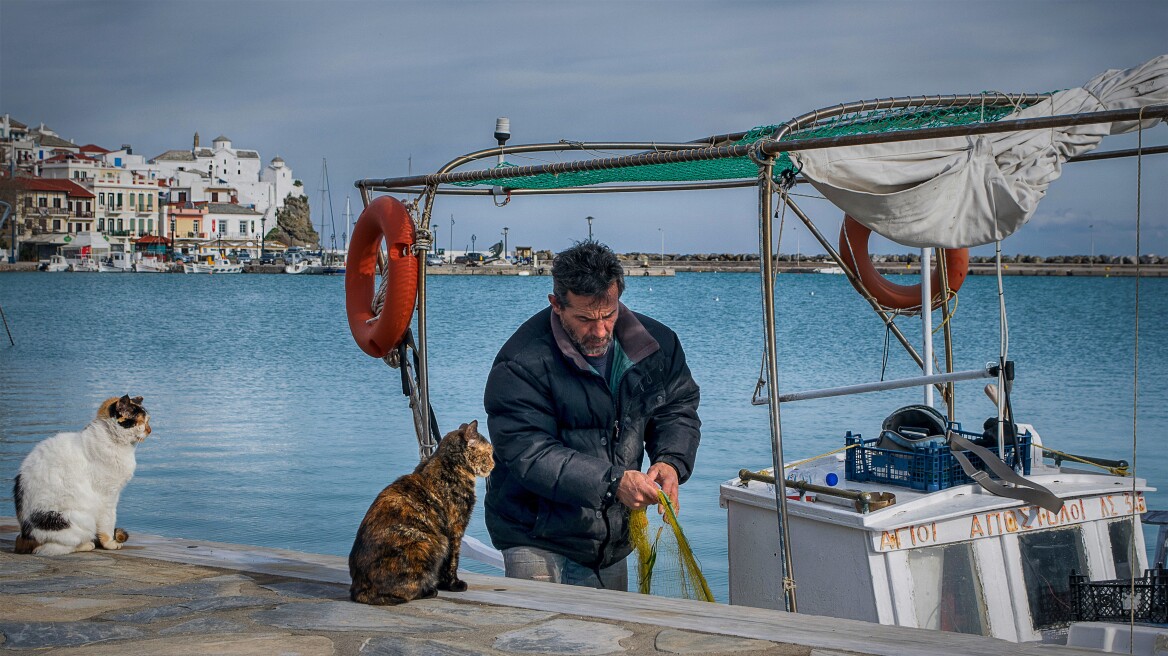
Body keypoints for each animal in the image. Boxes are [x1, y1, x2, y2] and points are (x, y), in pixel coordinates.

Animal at [13, 392, 153, 550]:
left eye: (148, 421)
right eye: (142, 422)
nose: (150, 430)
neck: (113, 440)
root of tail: (25, 536)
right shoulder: (109, 495)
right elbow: (109, 521)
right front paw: (109, 542)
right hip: (79, 518)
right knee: (59, 546)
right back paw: (87, 545)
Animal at [345, 417, 492, 602]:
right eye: (489, 453)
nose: (494, 464)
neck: (449, 465)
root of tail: (358, 589)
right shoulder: (455, 531)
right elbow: (452, 561)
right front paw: (453, 585)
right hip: (429, 542)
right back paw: (429, 591)